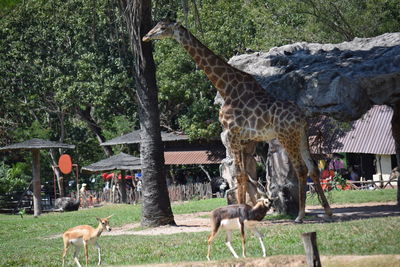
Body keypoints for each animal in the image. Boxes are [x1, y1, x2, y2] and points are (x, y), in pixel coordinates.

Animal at [142, 21, 332, 223]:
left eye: (163, 28)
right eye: (156, 25)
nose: (146, 36)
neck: (225, 88)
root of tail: (302, 117)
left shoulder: (231, 133)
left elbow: (239, 175)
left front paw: (240, 213)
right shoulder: (241, 137)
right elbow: (241, 175)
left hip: (286, 136)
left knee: (301, 169)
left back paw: (300, 216)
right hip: (302, 135)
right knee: (313, 168)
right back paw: (327, 211)